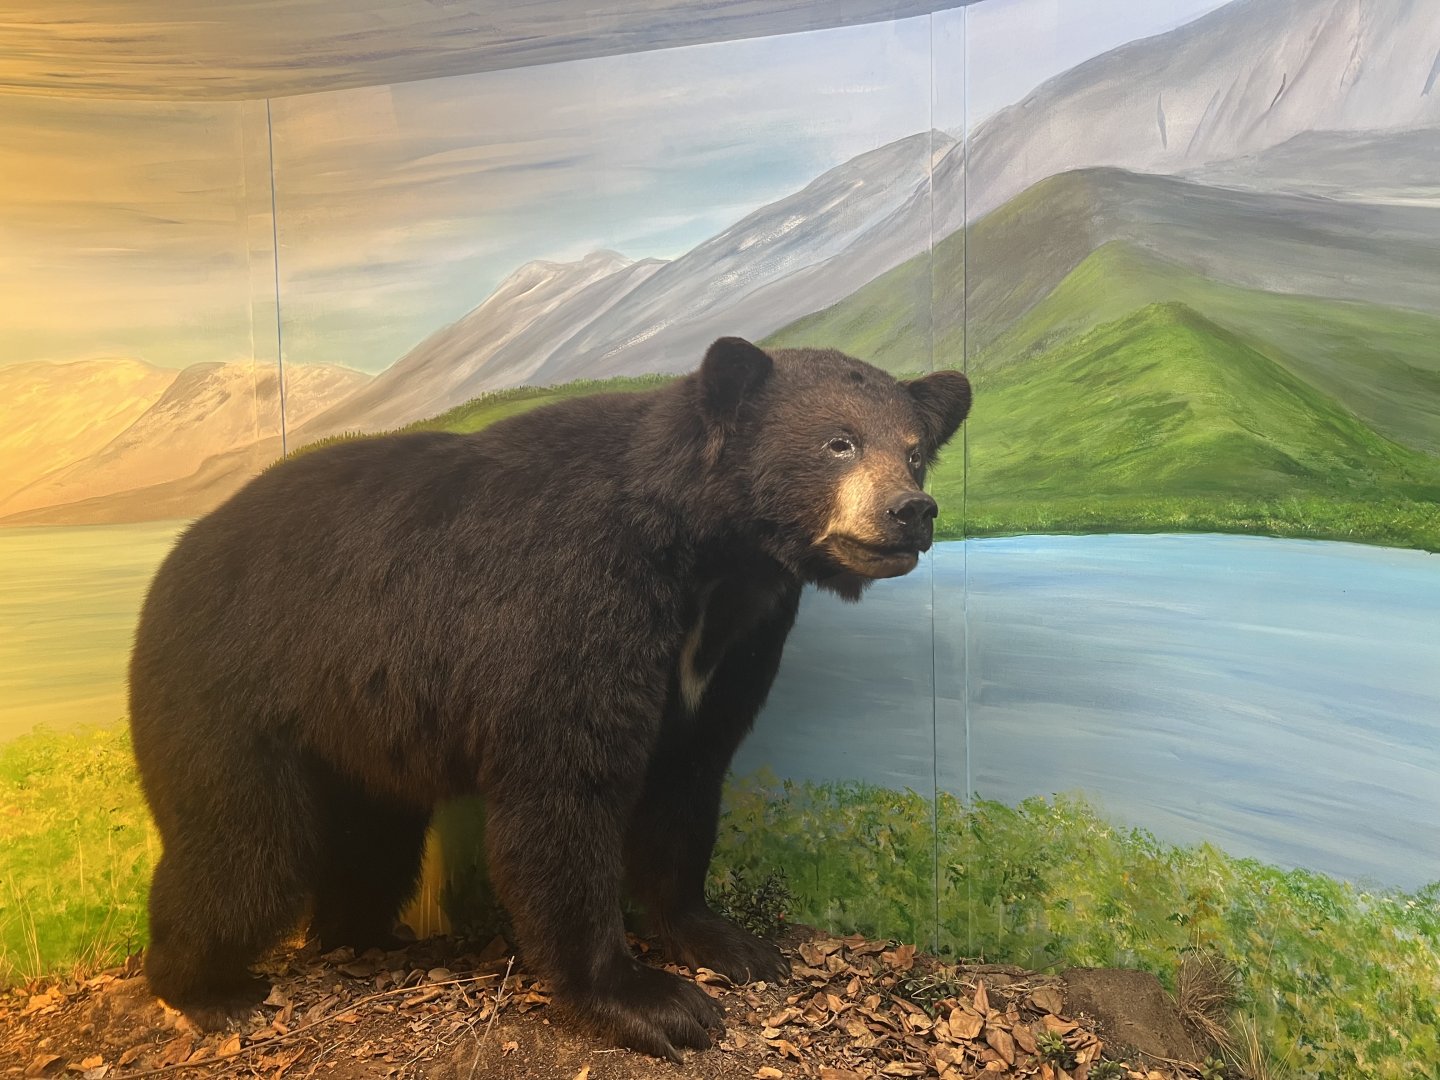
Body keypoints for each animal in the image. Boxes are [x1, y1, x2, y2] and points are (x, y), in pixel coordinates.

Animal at [127, 336, 971, 1061]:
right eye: (839, 441)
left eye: (914, 448)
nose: (910, 511)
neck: (706, 556)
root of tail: (176, 554)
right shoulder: (573, 597)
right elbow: (566, 785)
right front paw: (651, 1000)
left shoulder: (734, 643)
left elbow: (689, 777)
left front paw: (729, 942)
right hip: (230, 687)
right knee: (243, 851)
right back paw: (205, 988)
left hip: (355, 721)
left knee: (371, 837)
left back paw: (365, 934)